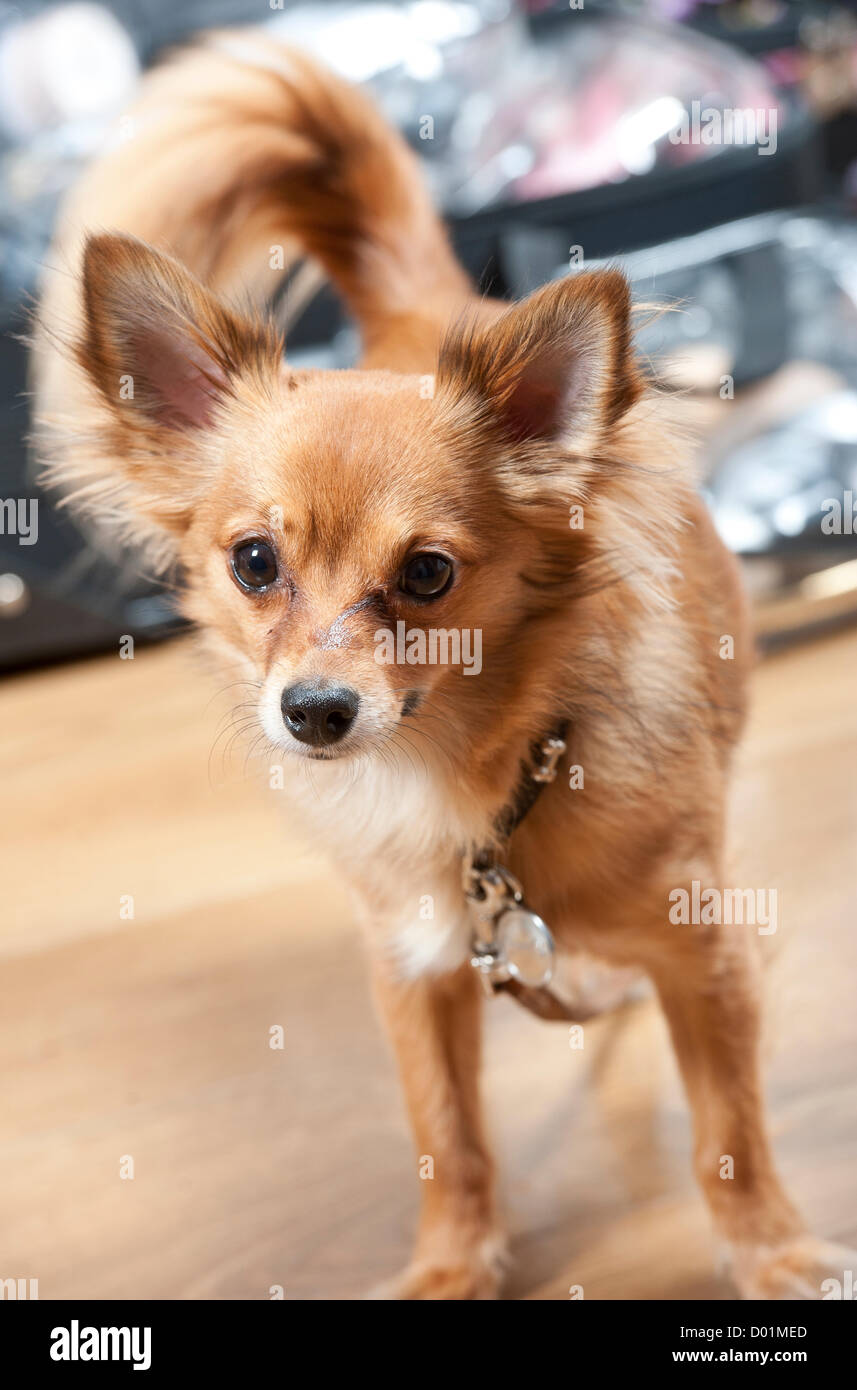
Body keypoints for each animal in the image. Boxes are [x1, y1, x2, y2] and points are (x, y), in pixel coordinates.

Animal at [35, 27, 850, 1295]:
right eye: (254, 562)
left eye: (425, 576)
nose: (314, 710)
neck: (476, 791)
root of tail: (429, 304)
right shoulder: (411, 970)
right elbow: (448, 1135)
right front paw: (451, 1267)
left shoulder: (705, 955)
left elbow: (728, 1132)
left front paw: (771, 1254)